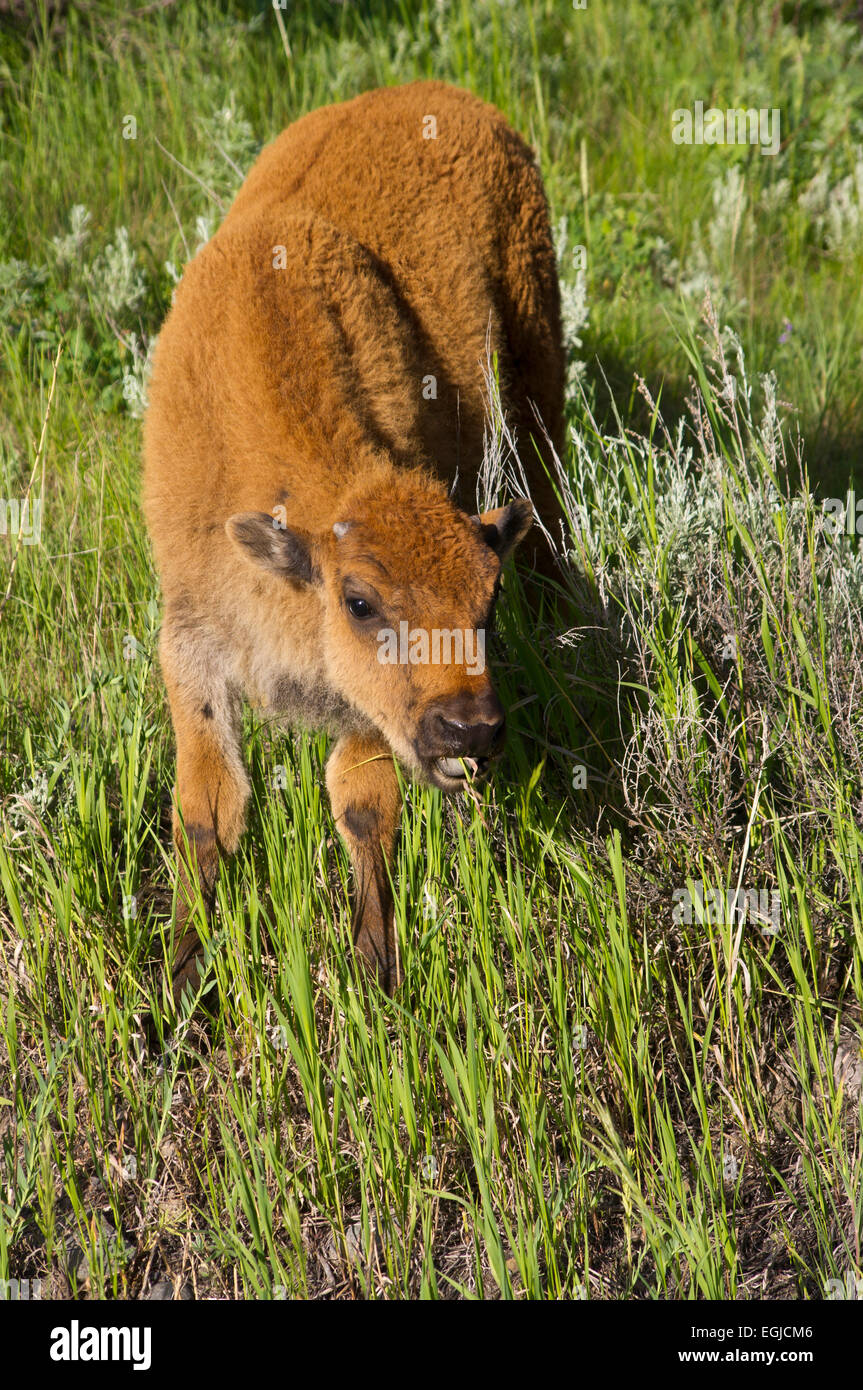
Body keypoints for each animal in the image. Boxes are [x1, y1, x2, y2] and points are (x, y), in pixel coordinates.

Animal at [143, 78, 564, 1011]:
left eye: (485, 604)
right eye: (361, 602)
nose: (467, 731)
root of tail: (438, 94)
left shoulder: (361, 714)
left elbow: (364, 805)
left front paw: (375, 973)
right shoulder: (191, 645)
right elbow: (206, 811)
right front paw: (181, 981)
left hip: (534, 361)